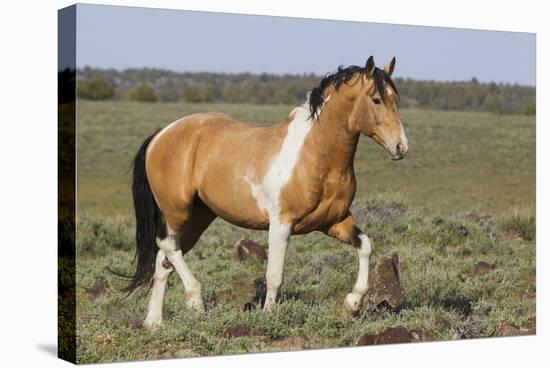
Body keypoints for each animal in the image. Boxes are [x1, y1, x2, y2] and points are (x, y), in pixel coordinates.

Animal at [126, 56, 410, 330]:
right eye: (376, 99)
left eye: (396, 99)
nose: (401, 147)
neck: (315, 155)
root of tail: (161, 135)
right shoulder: (281, 224)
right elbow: (274, 275)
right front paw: (269, 315)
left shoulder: (335, 222)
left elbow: (365, 245)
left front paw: (352, 303)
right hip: (177, 212)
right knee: (166, 247)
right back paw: (195, 302)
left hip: (197, 218)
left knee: (164, 260)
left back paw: (154, 323)